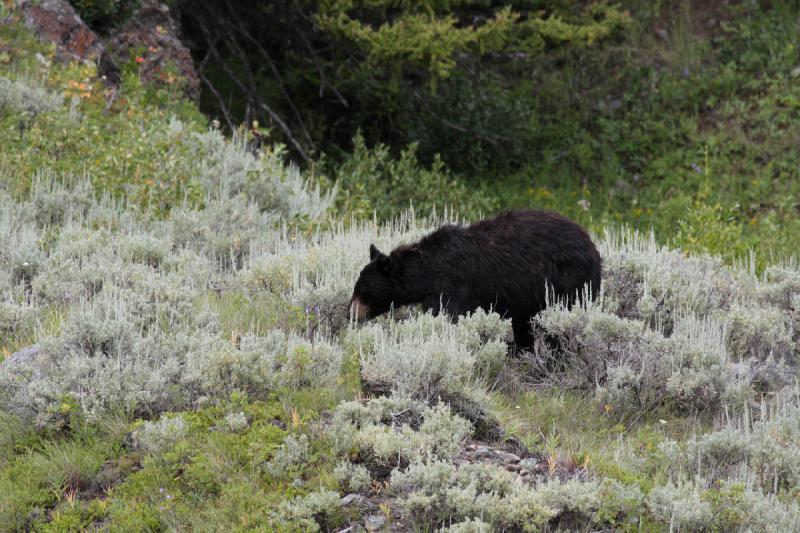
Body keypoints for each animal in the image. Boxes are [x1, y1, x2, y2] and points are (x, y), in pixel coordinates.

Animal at [348, 210, 600, 352]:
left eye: (365, 288)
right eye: (356, 285)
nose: (350, 312)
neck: (428, 271)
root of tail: (593, 247)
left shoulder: (451, 287)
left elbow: (446, 316)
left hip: (567, 284)